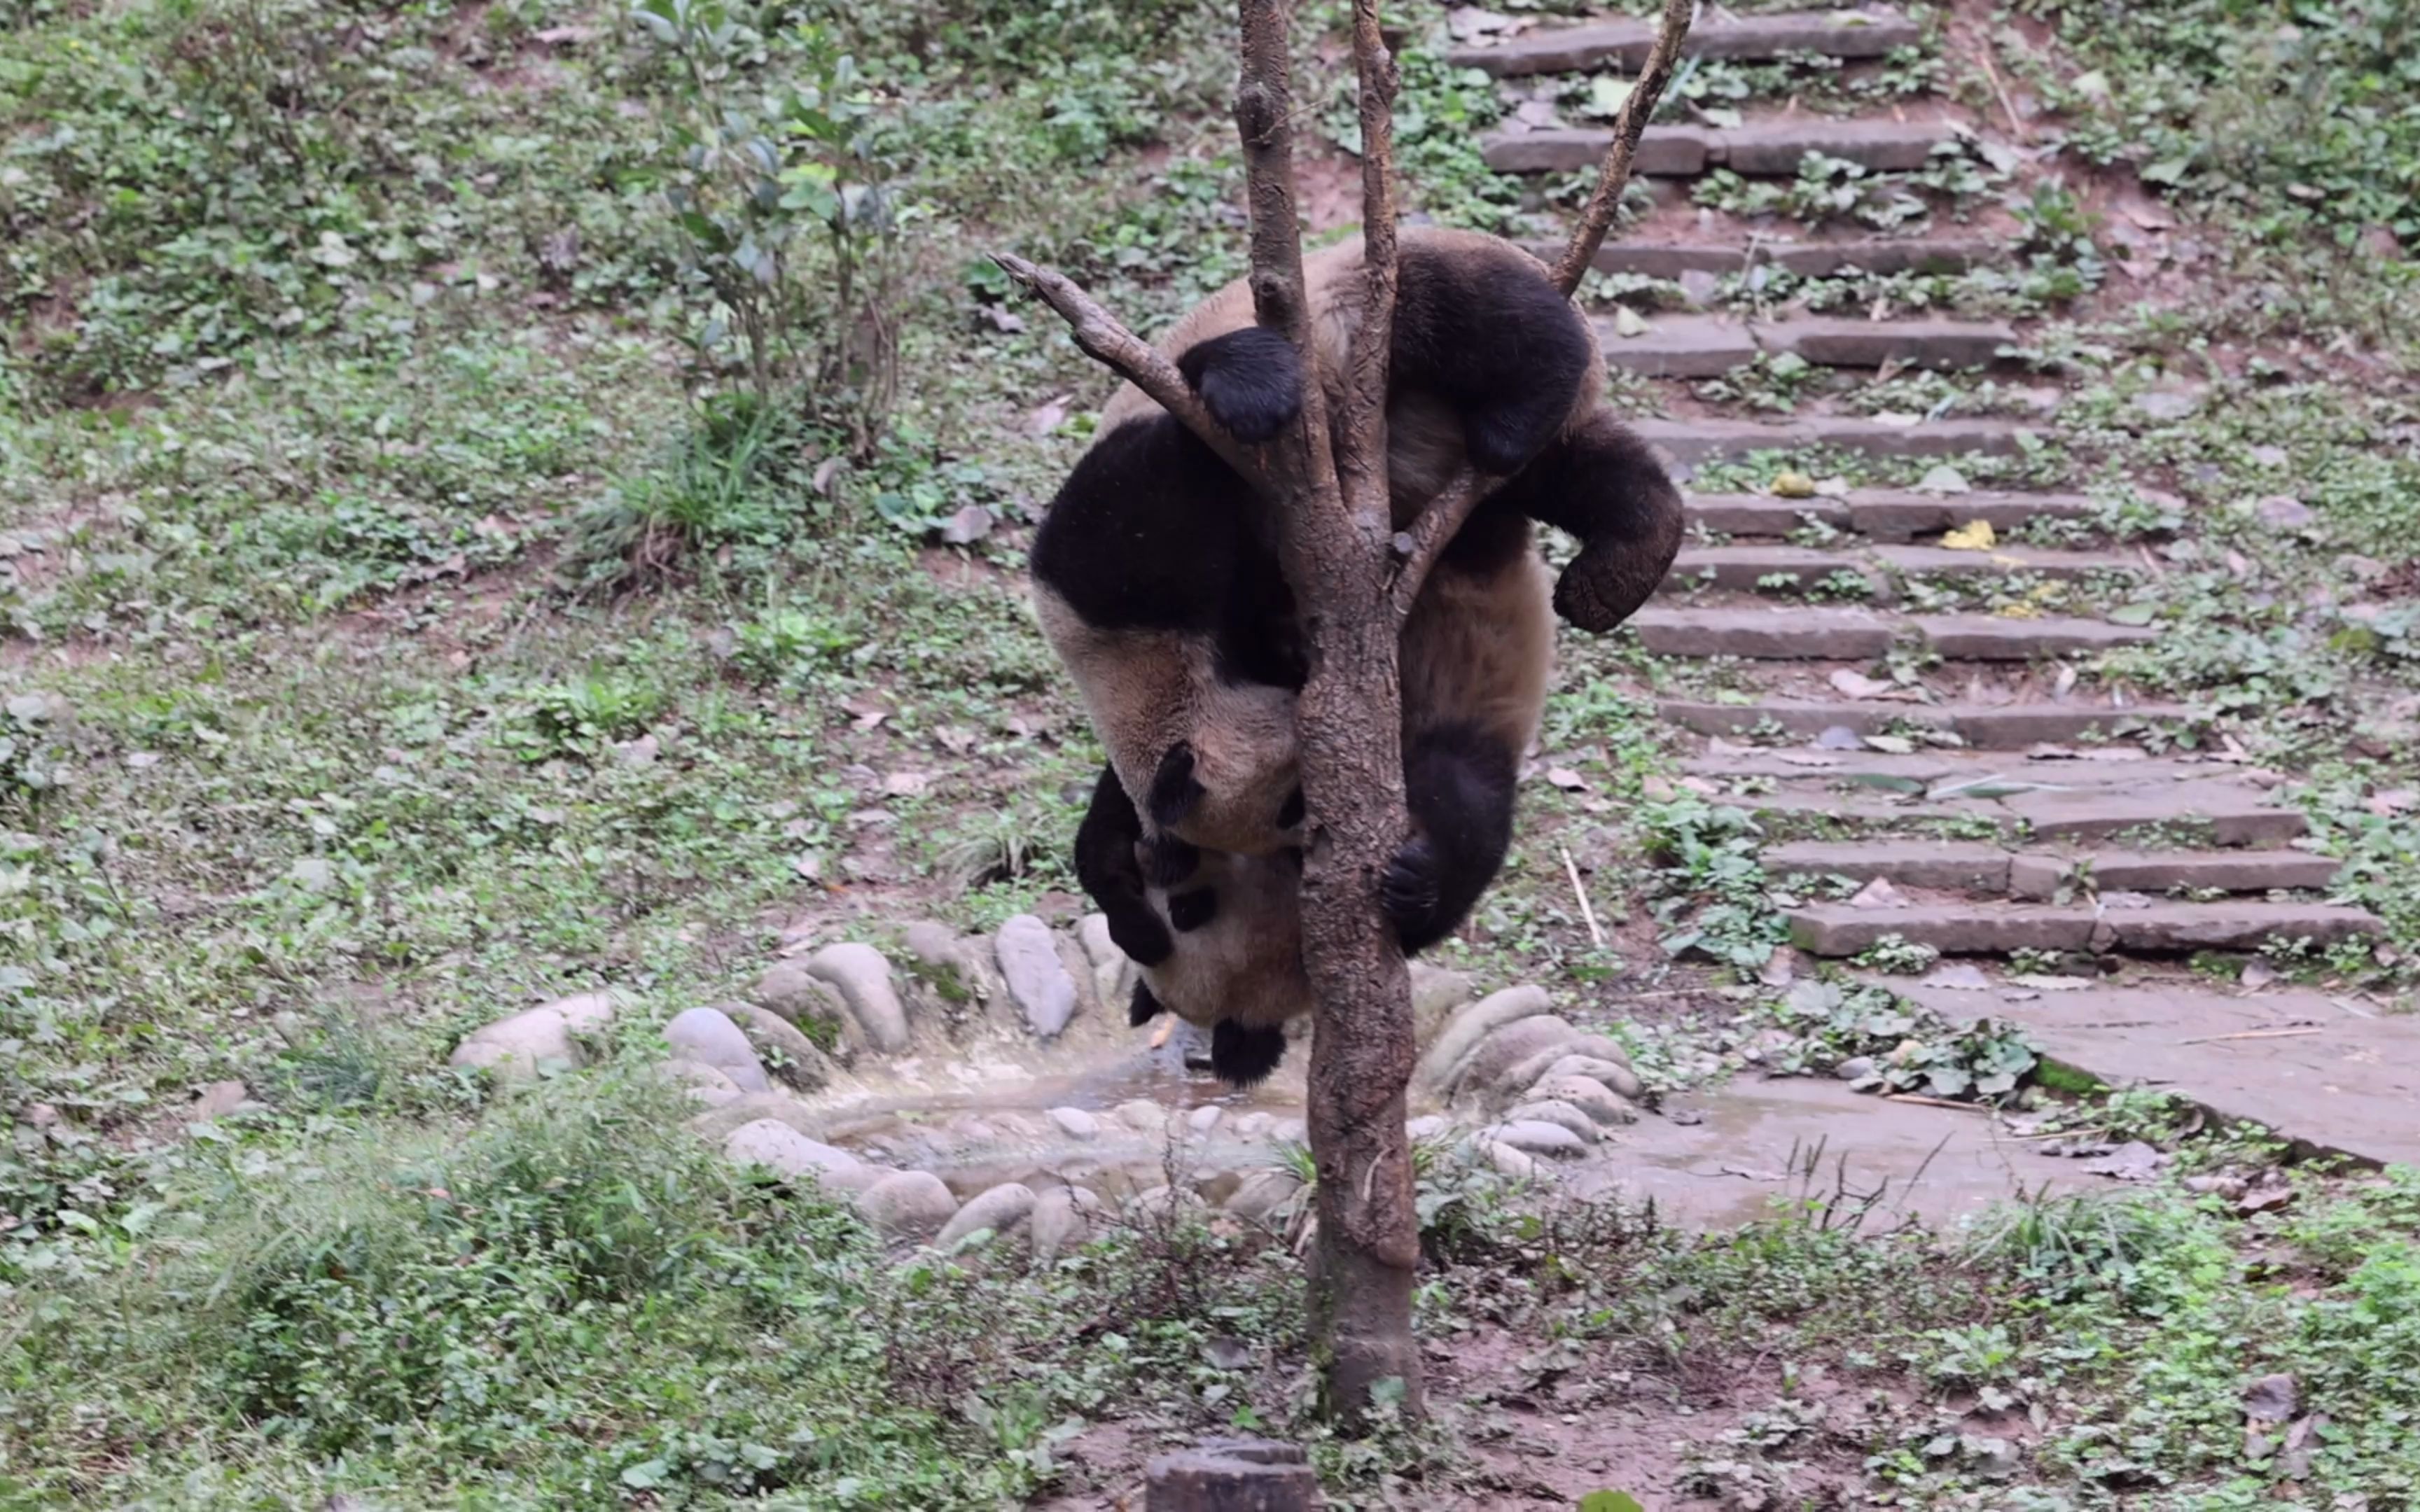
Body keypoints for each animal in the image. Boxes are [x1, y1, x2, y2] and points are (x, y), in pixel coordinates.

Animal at [1026, 223, 1684, 1079]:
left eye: (1294, 803)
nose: (1320, 827)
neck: (1157, 674)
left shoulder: (1127, 566)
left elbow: (1153, 482)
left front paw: (1412, 880)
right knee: (1592, 472)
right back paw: (1618, 563)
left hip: (1378, 303)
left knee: (1484, 325)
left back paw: (1526, 442)